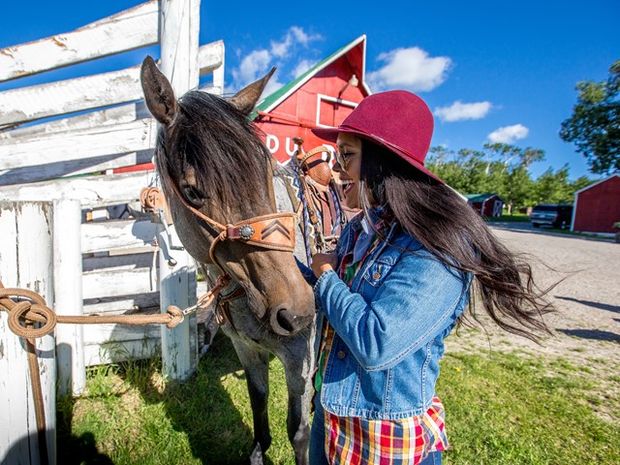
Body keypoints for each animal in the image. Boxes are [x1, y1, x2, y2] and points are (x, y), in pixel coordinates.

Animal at [141, 57, 320, 464]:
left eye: (266, 174)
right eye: (192, 190)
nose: (298, 310)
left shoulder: (298, 358)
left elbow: (298, 430)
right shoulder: (246, 349)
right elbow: (259, 407)